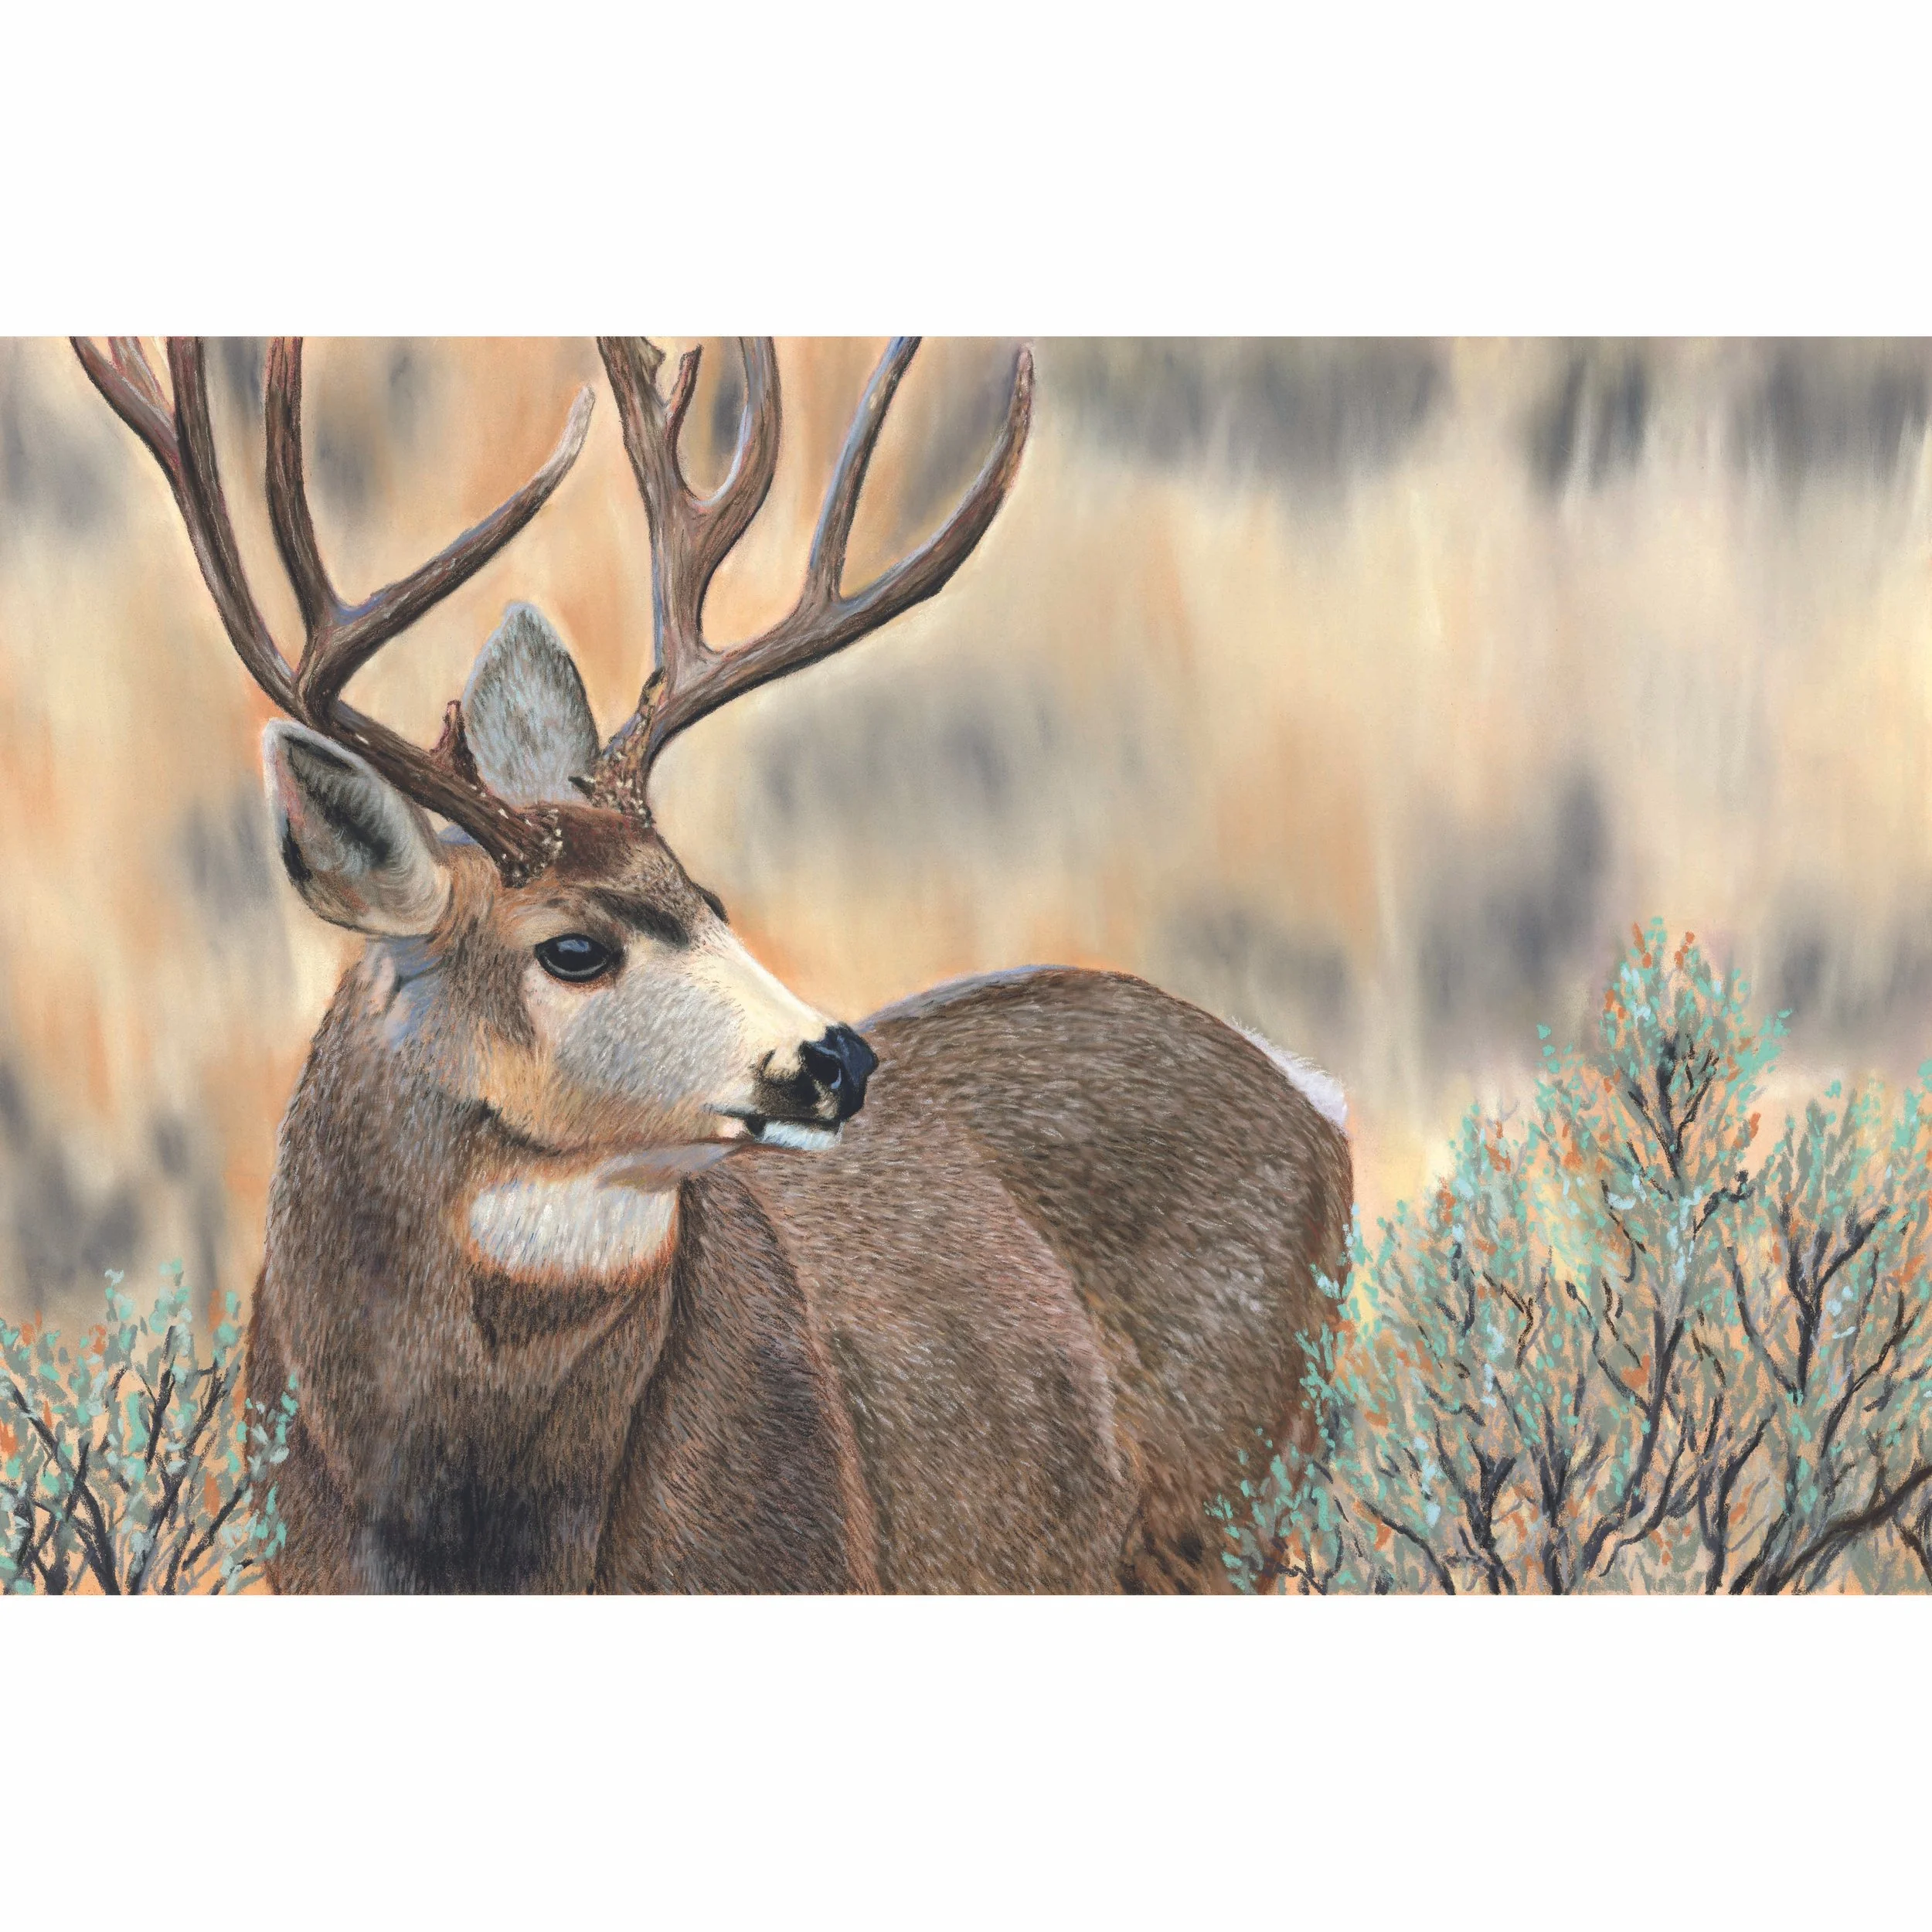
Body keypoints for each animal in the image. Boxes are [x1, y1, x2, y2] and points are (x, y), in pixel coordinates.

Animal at [72, 334, 1353, 1593]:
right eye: (574, 948)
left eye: (710, 898)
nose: (838, 1061)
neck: (479, 1541)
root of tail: (1313, 1092)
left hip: (1232, 1511)